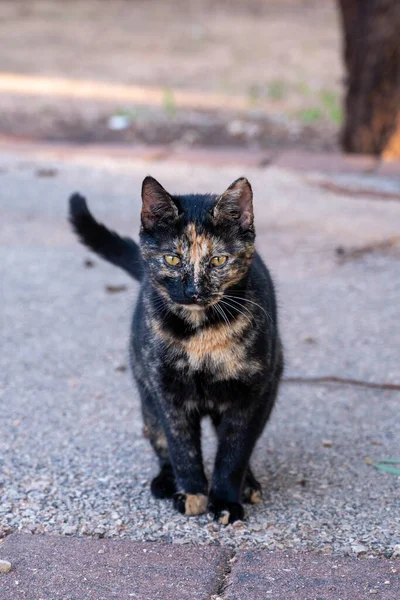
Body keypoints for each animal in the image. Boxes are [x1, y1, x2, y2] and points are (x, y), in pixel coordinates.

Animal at [69, 176, 282, 524]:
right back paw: (166, 482)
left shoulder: (251, 394)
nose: (193, 290)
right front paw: (193, 494)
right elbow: (182, 448)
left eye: (218, 260)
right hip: (147, 400)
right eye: (172, 258)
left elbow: (233, 452)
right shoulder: (168, 394)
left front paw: (225, 501)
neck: (202, 335)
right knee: (161, 444)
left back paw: (248, 485)